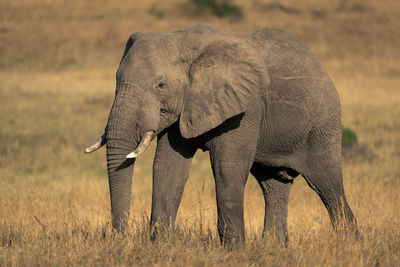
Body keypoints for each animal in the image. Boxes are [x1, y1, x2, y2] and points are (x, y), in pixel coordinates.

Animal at [83, 24, 356, 246]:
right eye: (116, 81)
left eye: (160, 85)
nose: (120, 240)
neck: (184, 42)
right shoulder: (185, 106)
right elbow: (167, 167)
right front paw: (160, 247)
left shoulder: (246, 107)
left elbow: (227, 167)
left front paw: (235, 252)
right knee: (274, 187)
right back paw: (275, 247)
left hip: (322, 125)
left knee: (327, 184)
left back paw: (348, 243)